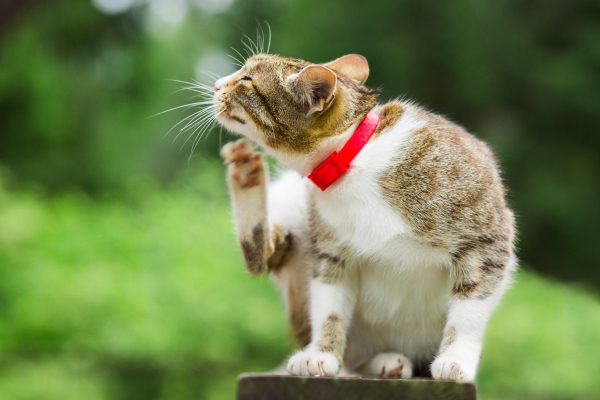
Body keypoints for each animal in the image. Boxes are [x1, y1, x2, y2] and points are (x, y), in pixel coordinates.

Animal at [212, 53, 516, 382]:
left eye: (247, 80)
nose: (216, 85)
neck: (352, 160)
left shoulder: (485, 237)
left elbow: (470, 308)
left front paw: (456, 359)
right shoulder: (331, 250)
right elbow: (329, 306)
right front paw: (322, 353)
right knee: (262, 255)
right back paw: (246, 173)